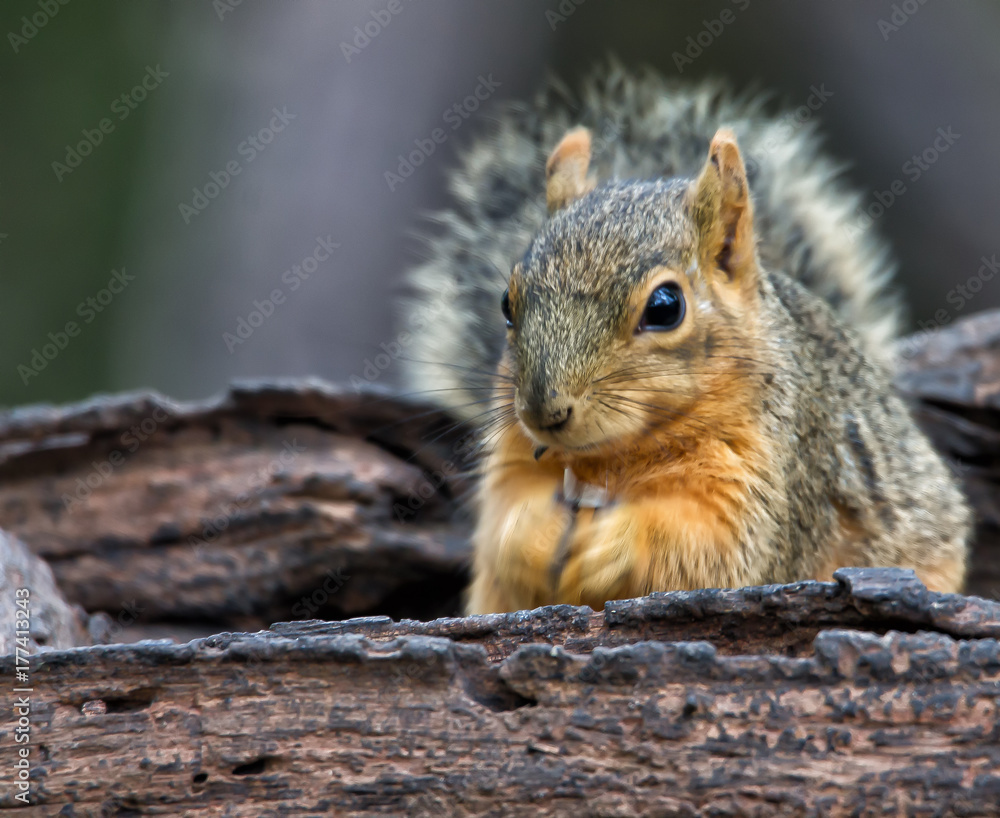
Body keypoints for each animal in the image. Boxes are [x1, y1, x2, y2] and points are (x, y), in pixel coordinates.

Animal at [401, 66, 971, 614]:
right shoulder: (513, 455)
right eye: (506, 302)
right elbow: (501, 527)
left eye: (665, 307)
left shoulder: (774, 482)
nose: (545, 411)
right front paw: (532, 533)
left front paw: (614, 547)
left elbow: (712, 553)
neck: (614, 455)